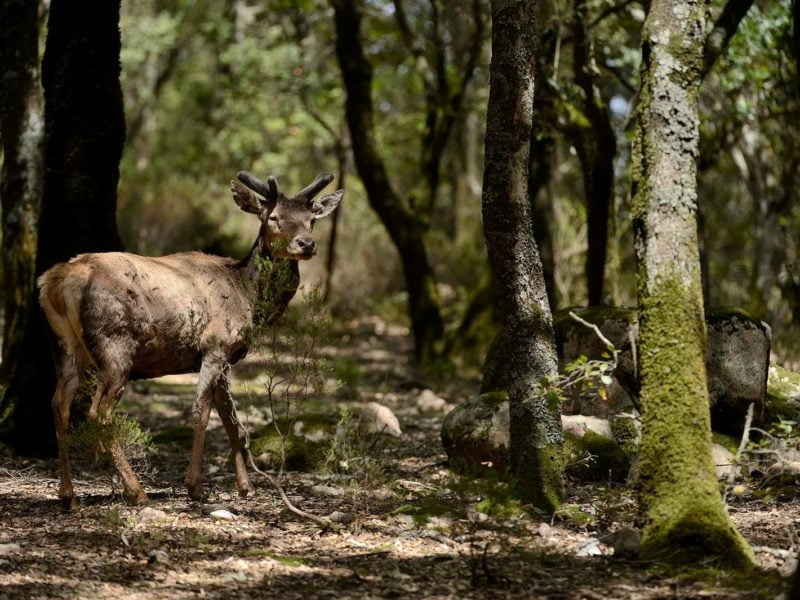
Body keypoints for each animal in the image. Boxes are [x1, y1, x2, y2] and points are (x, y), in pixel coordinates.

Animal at [37, 171, 344, 508]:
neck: (246, 294)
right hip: (115, 345)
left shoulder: (225, 357)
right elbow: (202, 412)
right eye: (273, 217)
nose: (307, 244)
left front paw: (246, 486)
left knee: (59, 404)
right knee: (99, 412)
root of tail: (58, 280)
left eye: (311, 220)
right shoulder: (215, 345)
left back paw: (68, 495)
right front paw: (195, 486)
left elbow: (230, 417)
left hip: (64, 345)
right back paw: (136, 491)